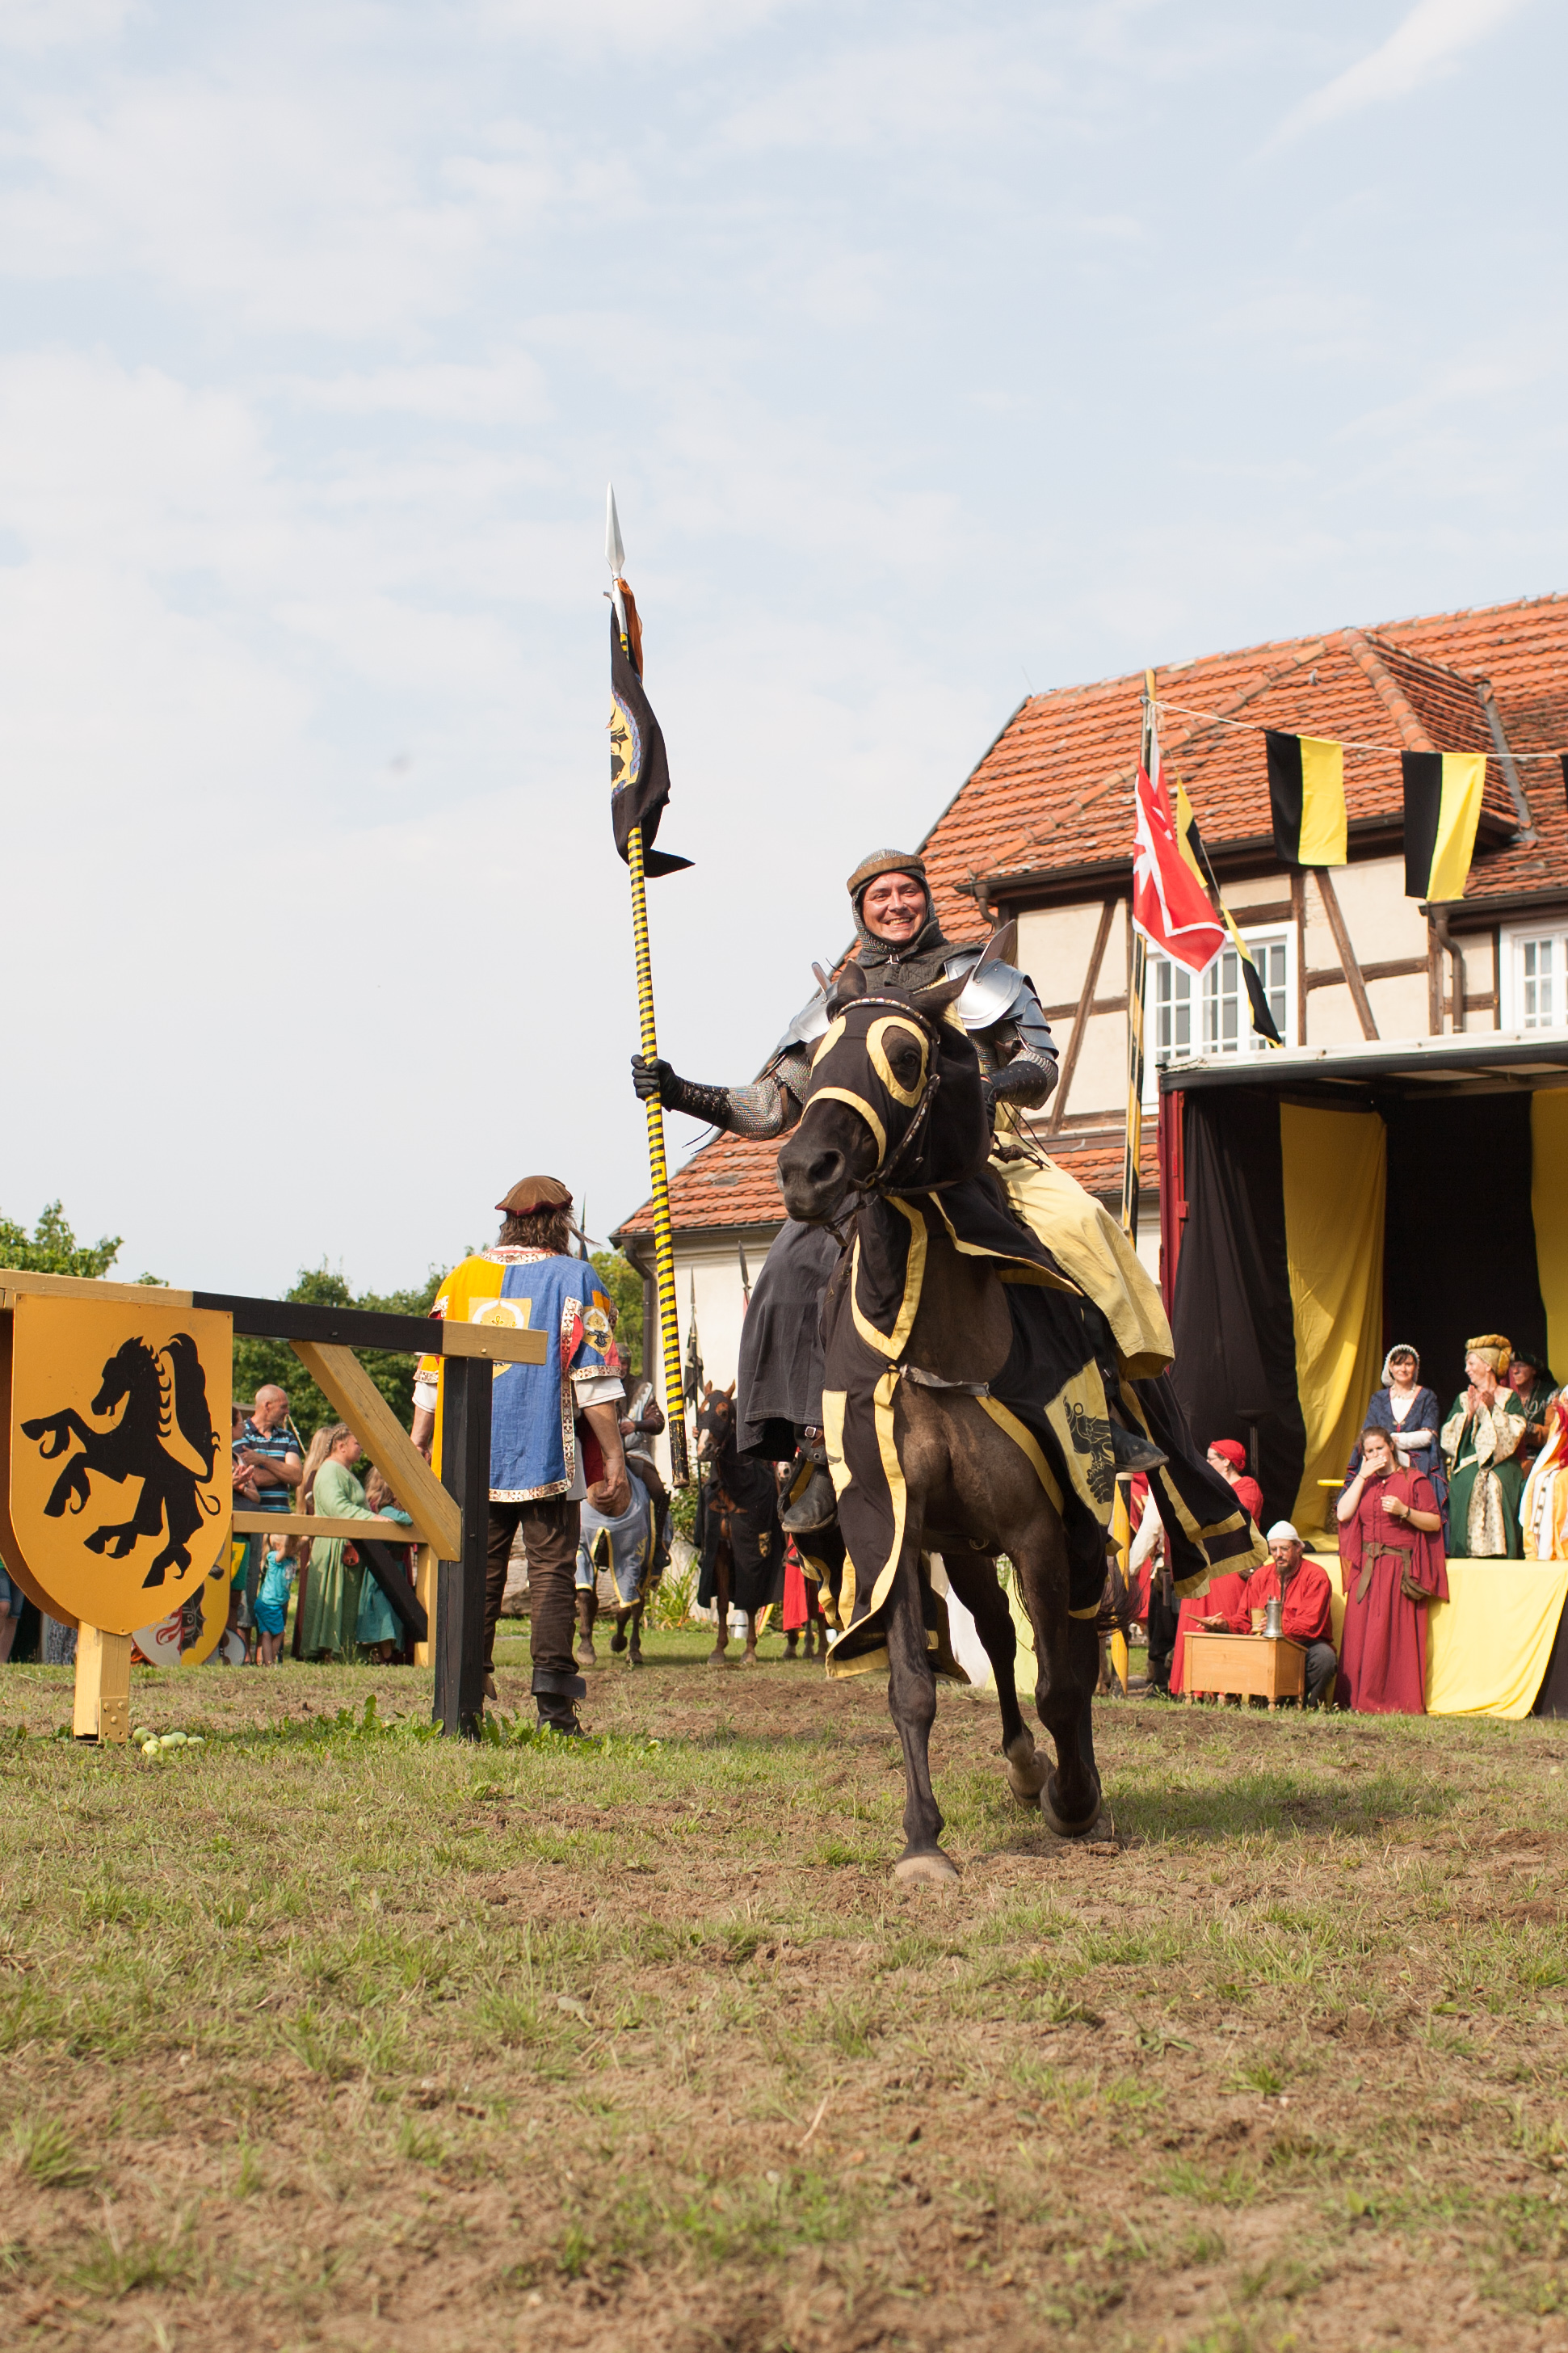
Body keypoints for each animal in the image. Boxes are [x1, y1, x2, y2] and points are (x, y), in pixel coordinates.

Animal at [22, 1333, 220, 1586]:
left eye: (115, 1375)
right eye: (105, 1374)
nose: (96, 1406)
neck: (135, 1427)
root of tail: (194, 1477)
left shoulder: (115, 1465)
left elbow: (77, 1449)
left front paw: (62, 1498)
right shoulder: (105, 1453)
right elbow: (71, 1422)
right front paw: (39, 1430)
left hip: (171, 1495)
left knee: (177, 1531)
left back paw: (151, 1566)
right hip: (154, 1487)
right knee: (154, 1525)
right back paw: (110, 1540)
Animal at [693, 1385, 784, 1667]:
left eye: (723, 1413)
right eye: (701, 1410)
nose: (704, 1448)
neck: (734, 1492)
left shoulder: (753, 1551)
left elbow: (751, 1599)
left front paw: (750, 1651)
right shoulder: (722, 1551)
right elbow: (723, 1603)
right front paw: (719, 1650)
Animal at [775, 957, 1112, 1883]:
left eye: (905, 1054)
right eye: (815, 1052)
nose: (806, 1170)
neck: (941, 1337)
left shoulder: (1041, 1529)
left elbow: (1060, 1679)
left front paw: (1075, 1800)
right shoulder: (891, 1524)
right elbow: (913, 1688)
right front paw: (922, 1841)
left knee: (1068, 1645)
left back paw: (1067, 1781)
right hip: (959, 1545)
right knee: (994, 1633)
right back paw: (1025, 1763)